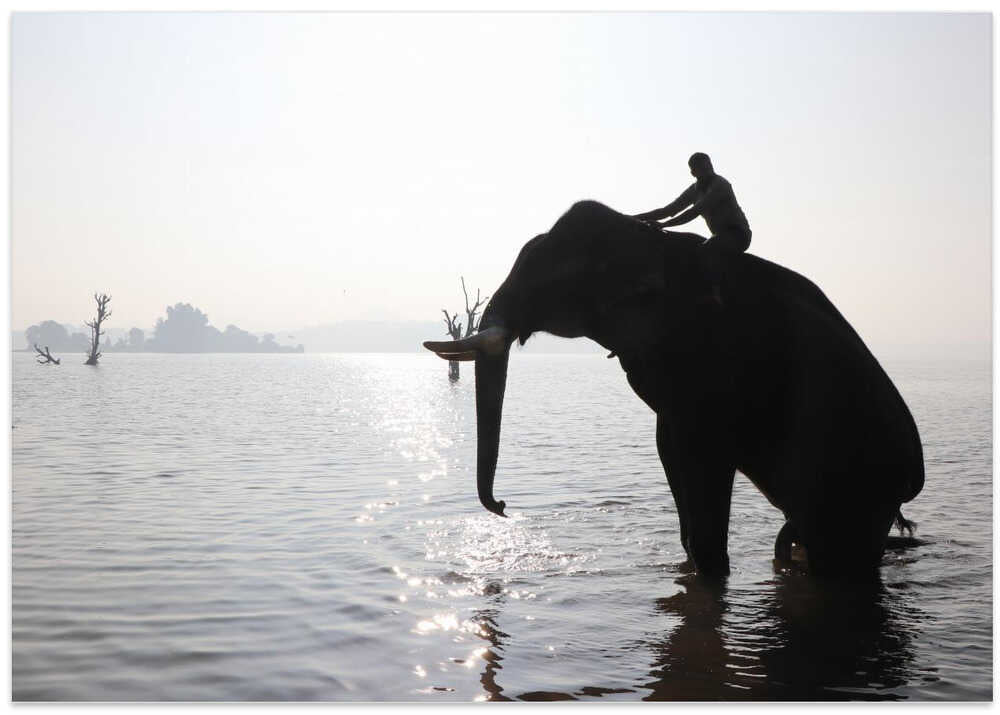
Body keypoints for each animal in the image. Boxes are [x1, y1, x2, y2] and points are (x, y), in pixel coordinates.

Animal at [424, 200, 924, 580]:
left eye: (550, 284)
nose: (504, 506)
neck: (648, 244)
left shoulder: (711, 360)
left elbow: (704, 459)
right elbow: (669, 448)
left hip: (858, 487)